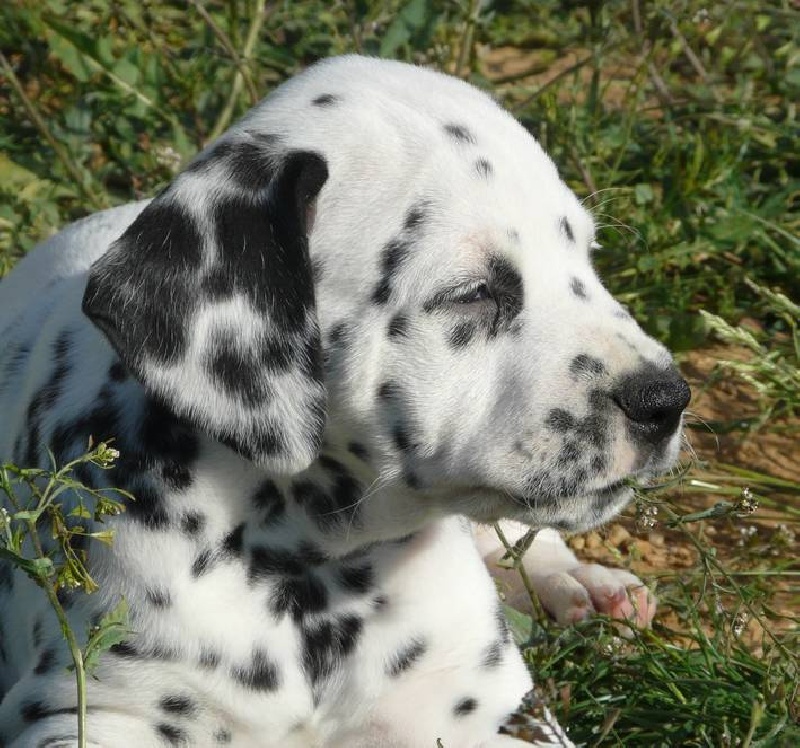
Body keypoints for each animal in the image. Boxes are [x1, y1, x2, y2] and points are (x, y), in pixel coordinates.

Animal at [0, 55, 689, 747]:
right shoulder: (88, 708)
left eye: (588, 259)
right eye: (472, 291)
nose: (667, 399)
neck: (312, 569)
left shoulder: (486, 715)